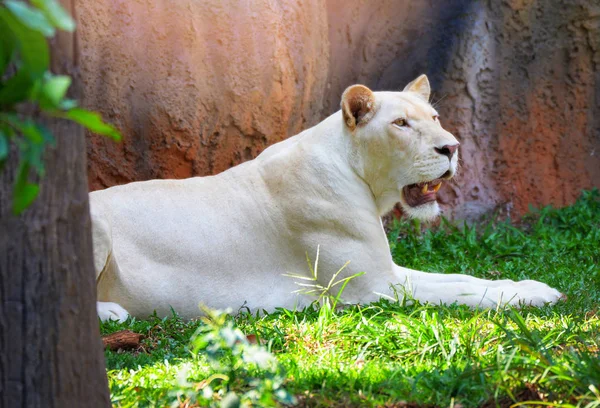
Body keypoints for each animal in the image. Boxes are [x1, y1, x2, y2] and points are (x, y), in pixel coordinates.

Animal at [90, 74, 564, 322]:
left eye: (434, 117)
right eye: (401, 124)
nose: (451, 147)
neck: (361, 177)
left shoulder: (387, 270)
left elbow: (463, 278)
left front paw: (530, 286)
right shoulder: (373, 288)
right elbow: (462, 293)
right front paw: (536, 297)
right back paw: (112, 313)